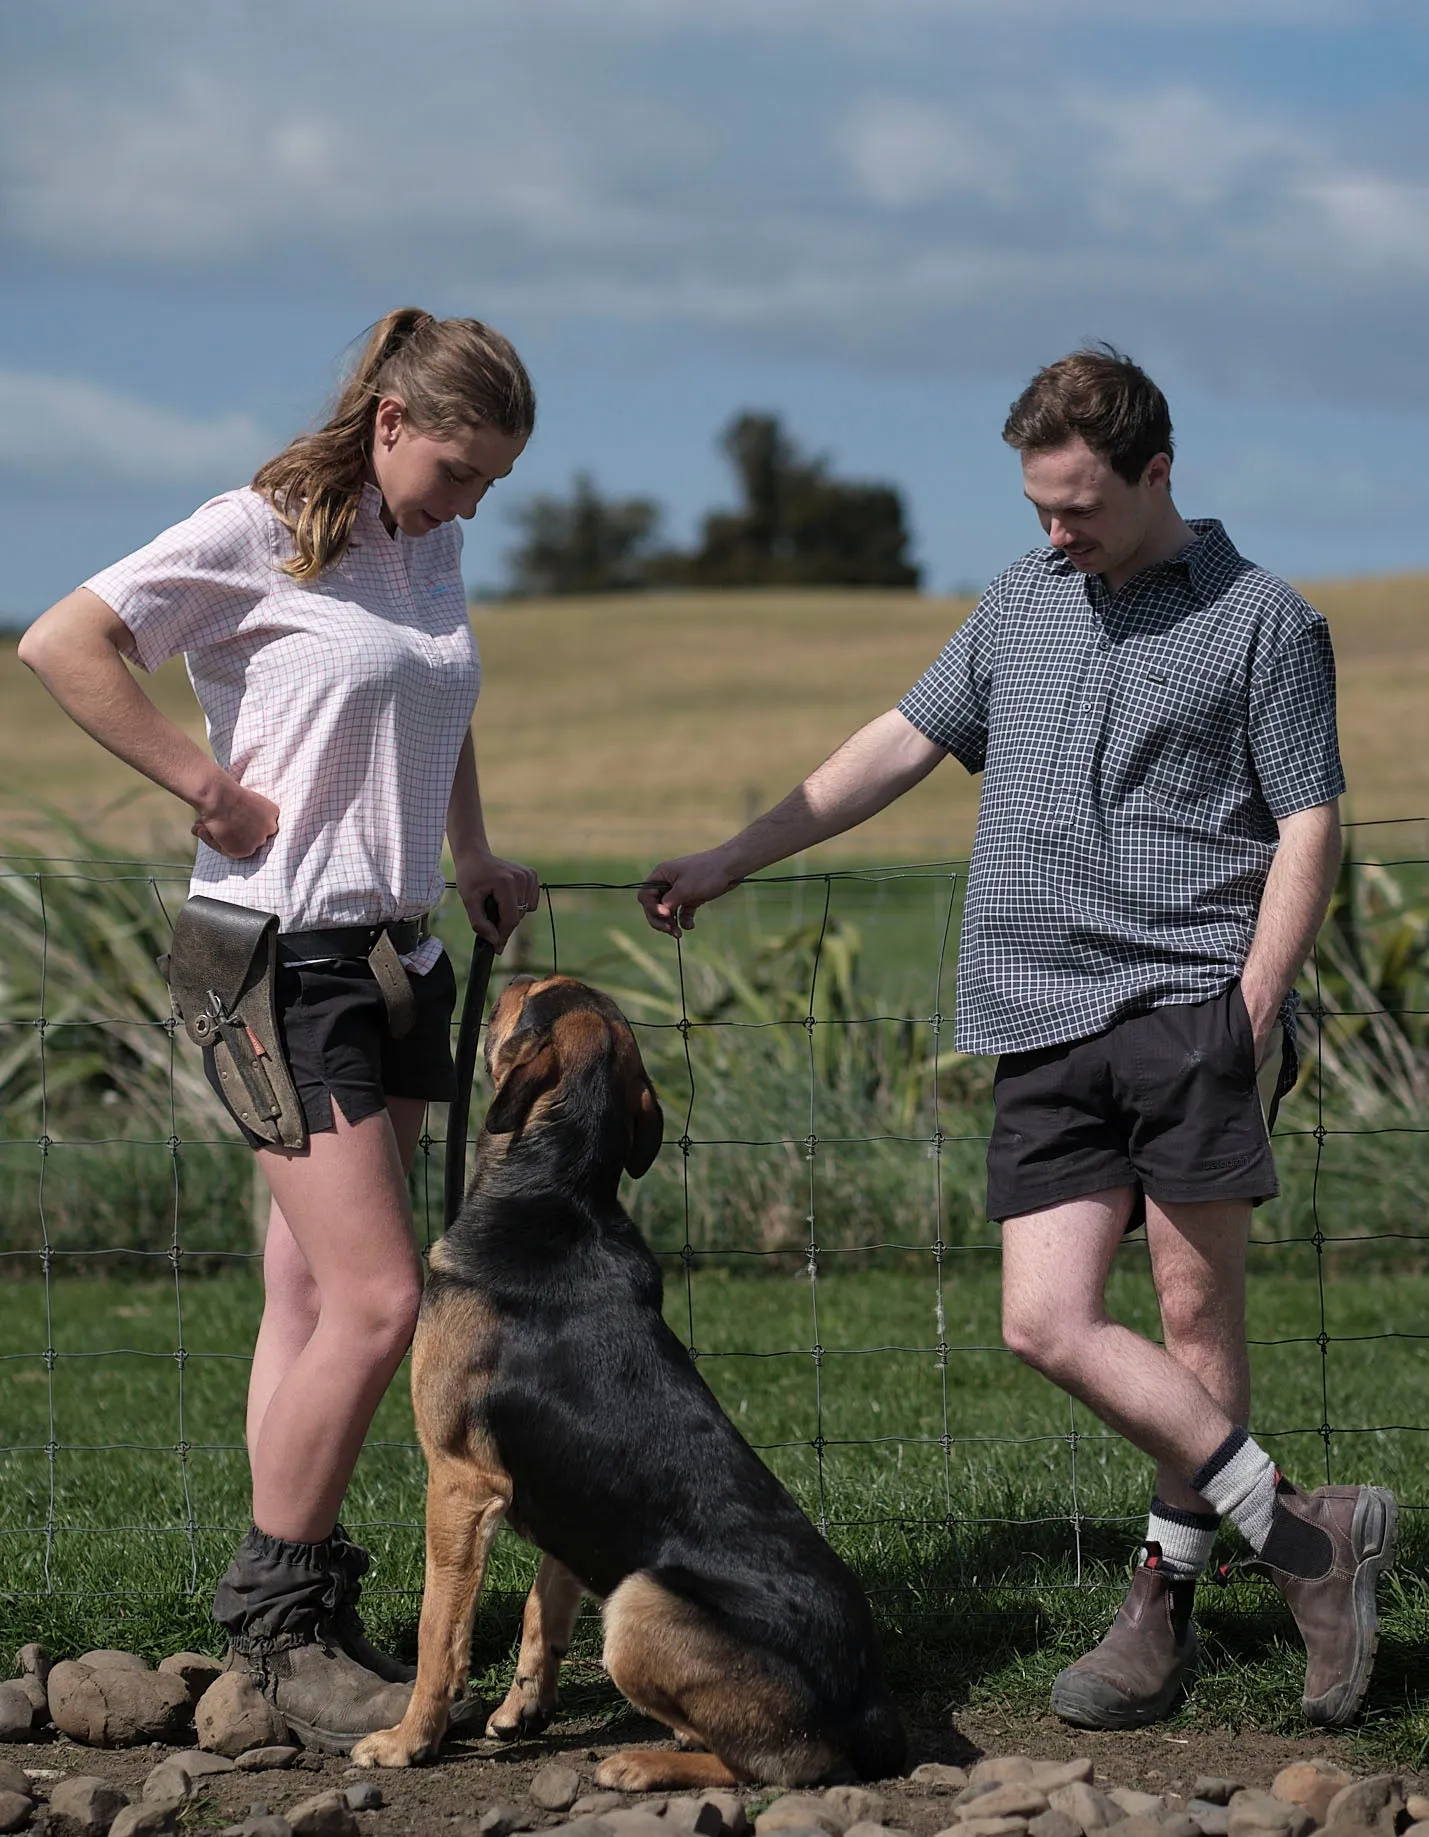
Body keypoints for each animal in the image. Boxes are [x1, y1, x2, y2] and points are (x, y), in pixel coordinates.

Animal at [348, 984, 903, 1785]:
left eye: (532, 994)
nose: (503, 975)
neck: (557, 1184)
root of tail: (864, 1707)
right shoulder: (564, 1495)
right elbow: (542, 1604)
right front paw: (522, 1707)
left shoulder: (457, 1480)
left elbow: (437, 1631)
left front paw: (409, 1740)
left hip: (639, 1601)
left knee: (769, 1764)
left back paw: (640, 1761)